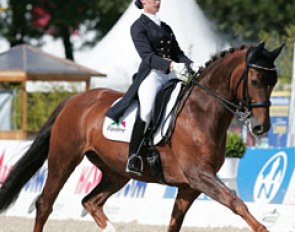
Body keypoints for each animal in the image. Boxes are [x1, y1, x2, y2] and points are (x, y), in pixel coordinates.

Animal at [0, 42, 286, 232]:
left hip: (117, 172)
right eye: (256, 81)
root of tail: (74, 100)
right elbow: (236, 202)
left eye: (273, 81)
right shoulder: (199, 176)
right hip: (64, 159)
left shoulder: (190, 186)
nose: (261, 128)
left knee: (91, 202)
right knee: (45, 203)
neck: (201, 111)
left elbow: (175, 223)